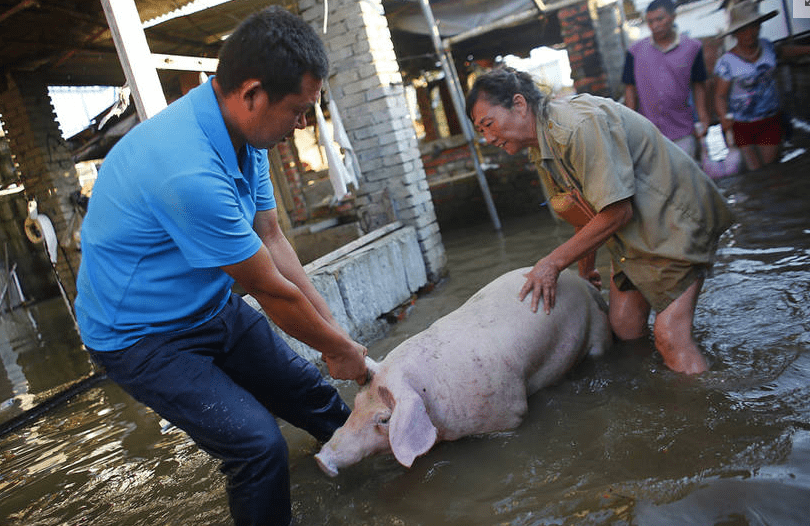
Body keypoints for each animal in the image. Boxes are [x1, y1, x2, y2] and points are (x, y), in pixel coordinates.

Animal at [312, 268, 608, 478]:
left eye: (385, 419)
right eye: (357, 403)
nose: (321, 459)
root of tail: (582, 280)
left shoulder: (509, 413)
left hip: (598, 332)